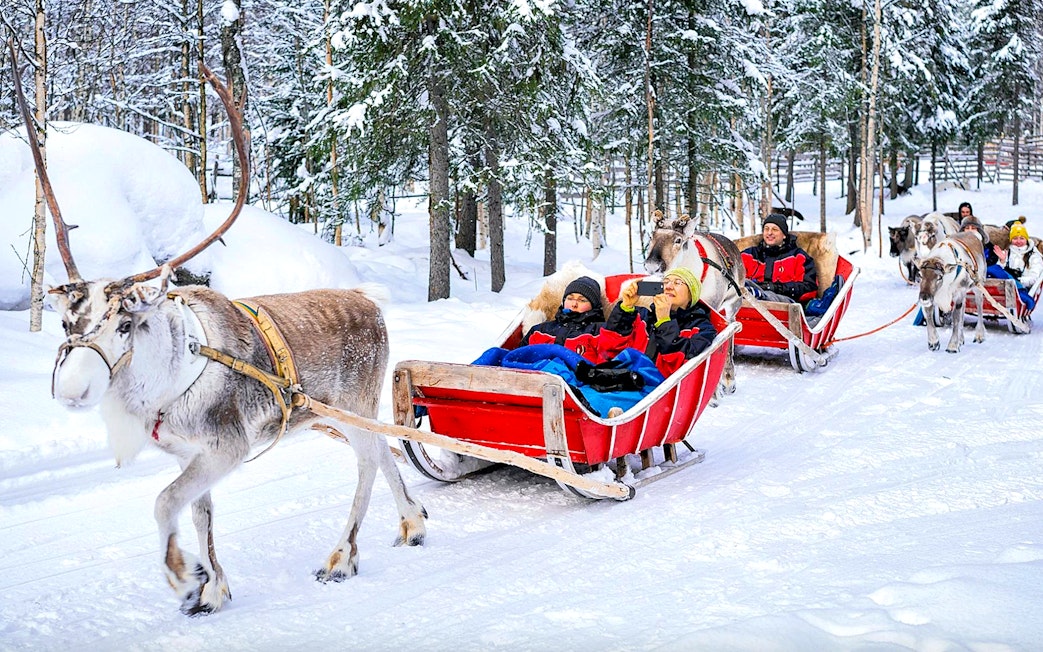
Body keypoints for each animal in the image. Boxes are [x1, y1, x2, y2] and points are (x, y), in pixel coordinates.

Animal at [10, 48, 427, 616]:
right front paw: (211, 586)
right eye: (65, 321)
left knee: (367, 461)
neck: (162, 383)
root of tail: (369, 302)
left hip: (355, 403)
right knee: (385, 449)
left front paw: (183, 575)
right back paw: (413, 521)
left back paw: (342, 557)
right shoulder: (191, 453)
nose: (72, 389)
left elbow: (164, 501)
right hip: (335, 414)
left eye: (126, 323)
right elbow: (200, 513)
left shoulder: (226, 446)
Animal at [643, 212, 744, 394]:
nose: (652, 266)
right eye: (651, 236)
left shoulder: (714, 307)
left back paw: (728, 379)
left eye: (678, 240)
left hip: (733, 305)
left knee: (731, 333)